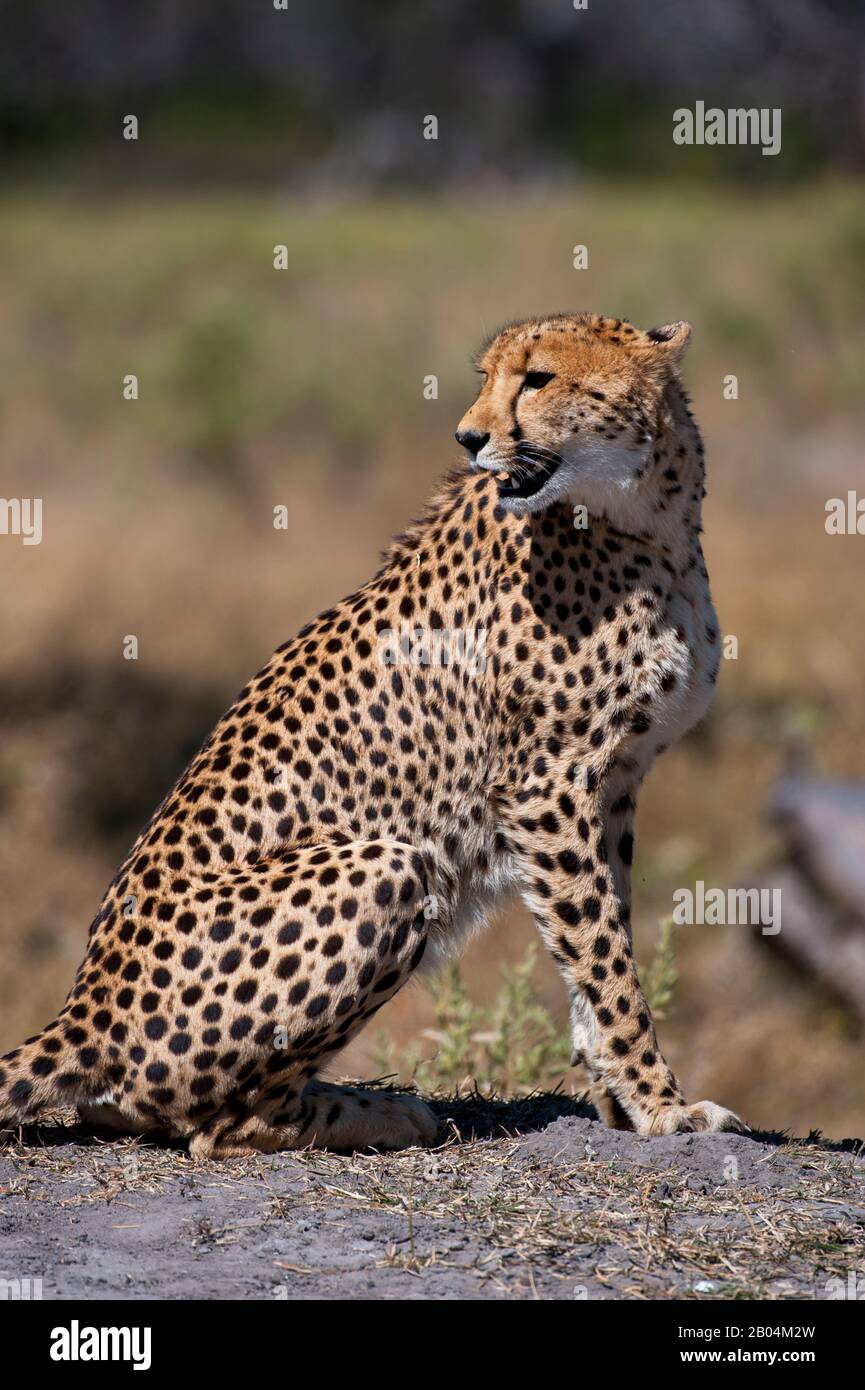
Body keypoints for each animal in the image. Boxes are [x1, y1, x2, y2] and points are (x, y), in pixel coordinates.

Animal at [0, 312, 745, 1150]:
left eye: (537, 379)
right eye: (488, 377)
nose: (467, 437)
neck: (646, 517)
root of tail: (83, 1014)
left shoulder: (611, 781)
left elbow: (597, 934)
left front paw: (617, 1093)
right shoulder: (546, 785)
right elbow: (603, 952)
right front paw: (659, 1100)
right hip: (388, 866)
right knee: (221, 1125)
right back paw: (378, 1111)